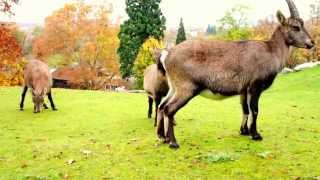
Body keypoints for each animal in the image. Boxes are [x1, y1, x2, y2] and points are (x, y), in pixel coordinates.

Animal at [156, 0, 314, 149]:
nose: (311, 43)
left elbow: (245, 109)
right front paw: (256, 135)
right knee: (169, 109)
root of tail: (167, 54)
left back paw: (162, 137)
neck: (271, 50)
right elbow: (255, 110)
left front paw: (244, 131)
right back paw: (173, 143)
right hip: (186, 88)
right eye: (295, 27)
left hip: (174, 87)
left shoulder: (243, 90)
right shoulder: (255, 86)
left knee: (162, 106)